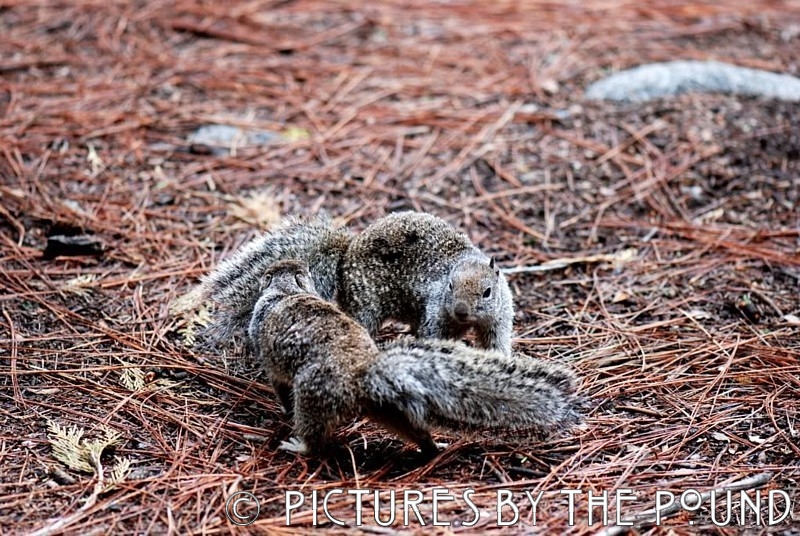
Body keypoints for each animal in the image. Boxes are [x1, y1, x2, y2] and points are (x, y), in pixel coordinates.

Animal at [203, 211, 516, 354]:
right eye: (450, 286)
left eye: (488, 292)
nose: (461, 310)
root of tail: (346, 253)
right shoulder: (435, 315)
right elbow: (434, 336)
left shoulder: (499, 318)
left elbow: (496, 342)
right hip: (366, 303)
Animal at [247, 258, 580, 456]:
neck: (286, 291)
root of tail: (365, 375)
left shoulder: (271, 361)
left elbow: (279, 386)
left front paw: (282, 409)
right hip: (387, 409)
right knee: (415, 433)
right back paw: (432, 447)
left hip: (314, 395)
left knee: (314, 437)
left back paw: (297, 445)